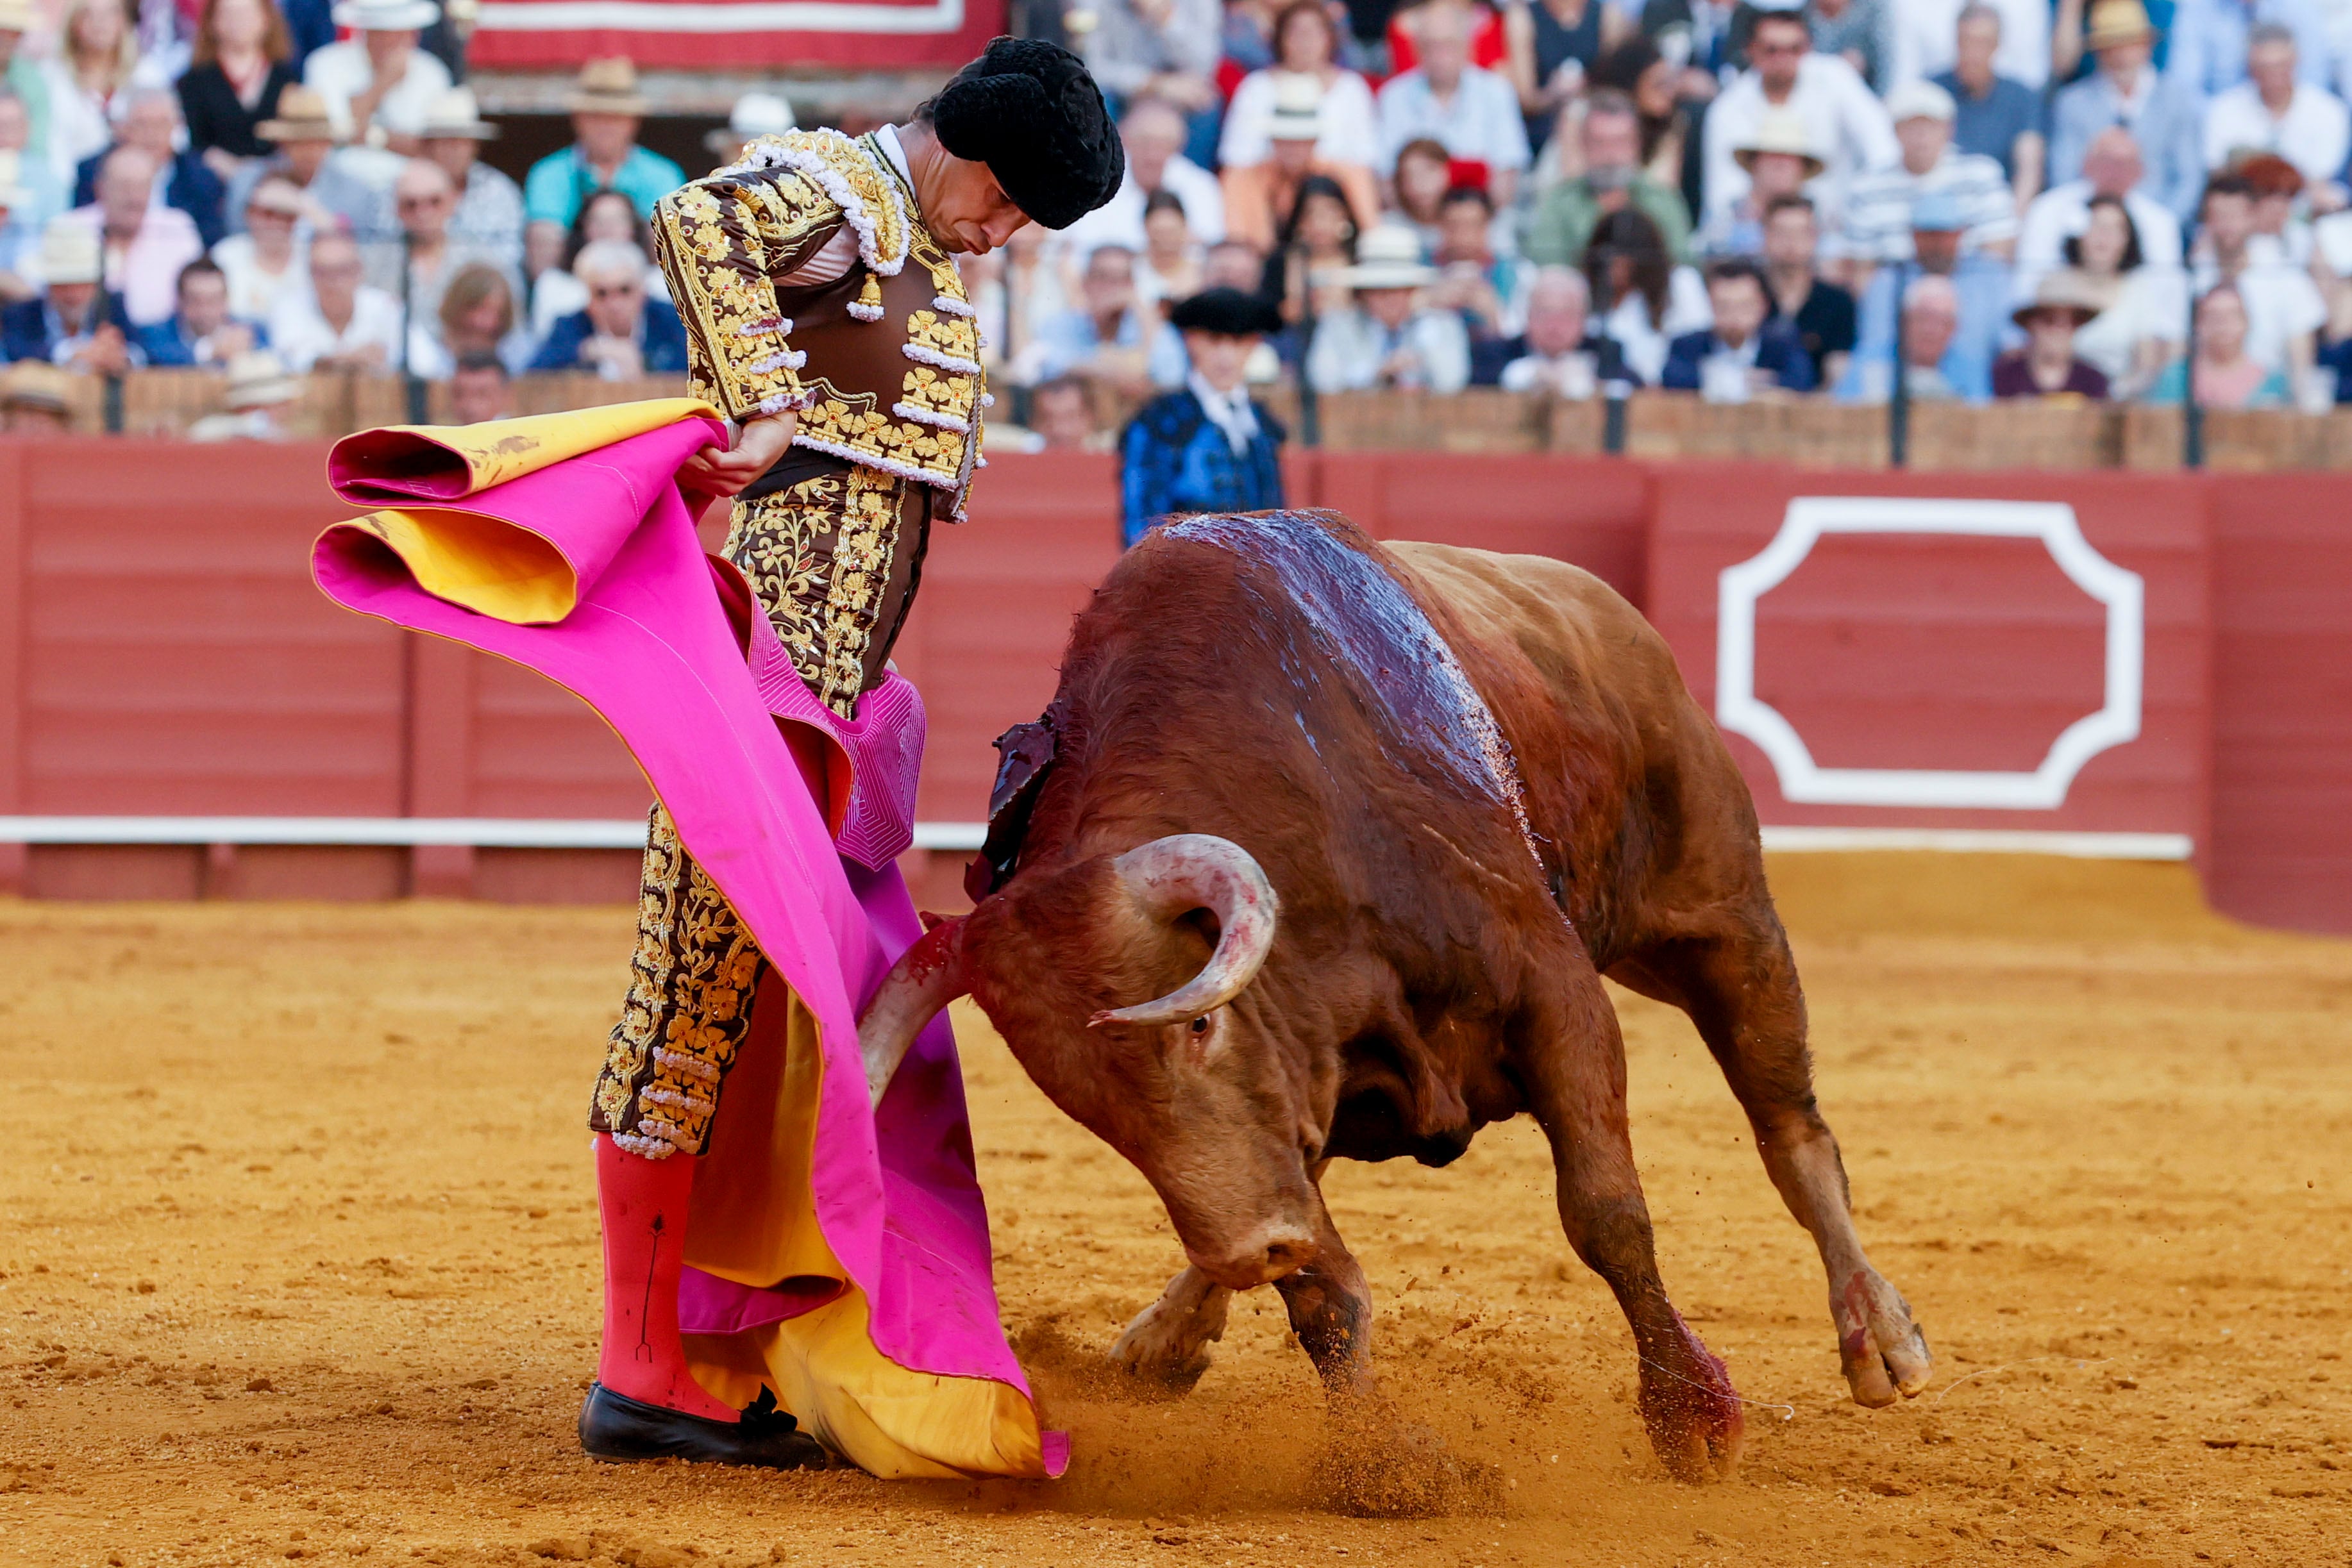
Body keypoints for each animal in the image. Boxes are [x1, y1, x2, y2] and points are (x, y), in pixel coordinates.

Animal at [865, 515, 1928, 1485]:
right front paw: (1384, 1469)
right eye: (1086, 1104)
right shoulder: (1306, 1091)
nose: (1250, 1248)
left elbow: (1607, 1213)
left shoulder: (1559, 993)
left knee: (1791, 1126)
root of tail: (1614, 616)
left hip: (1720, 921)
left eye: (1201, 1021)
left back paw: (1880, 1336)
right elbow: (1324, 1294)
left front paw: (1692, 1417)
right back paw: (1170, 1331)